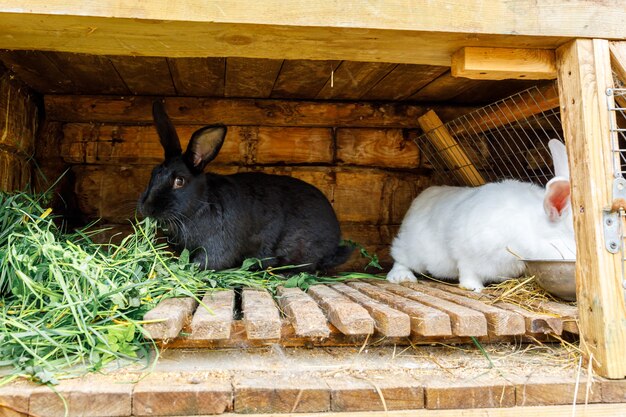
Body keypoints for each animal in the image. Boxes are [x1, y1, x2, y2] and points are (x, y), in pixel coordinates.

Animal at [139, 100, 352, 270]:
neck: (200, 205)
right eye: (154, 173)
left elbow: (207, 262)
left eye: (179, 181)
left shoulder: (215, 248)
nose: (147, 208)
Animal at [388, 138, 572, 290]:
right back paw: (402, 277)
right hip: (412, 249)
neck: (531, 229)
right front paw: (474, 288)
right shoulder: (467, 253)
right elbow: (468, 273)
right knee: (400, 258)